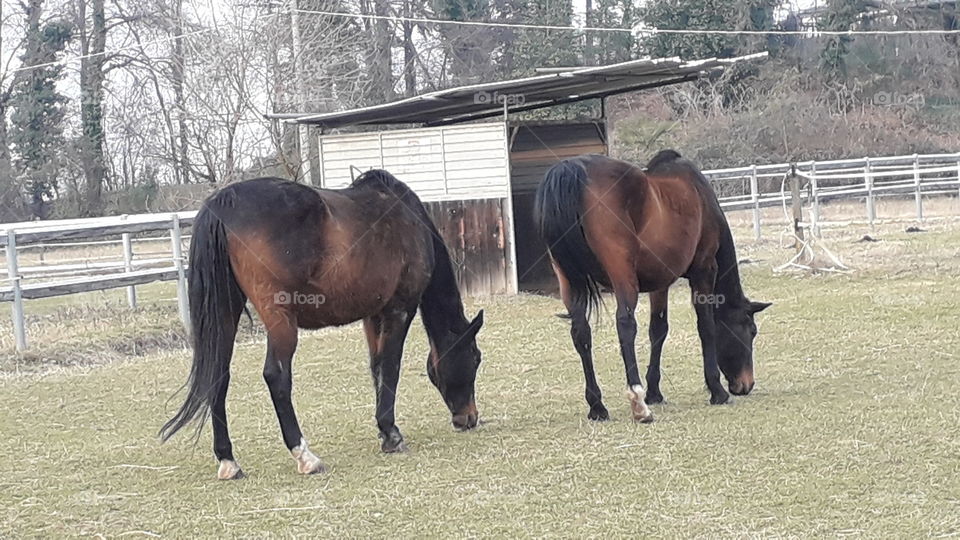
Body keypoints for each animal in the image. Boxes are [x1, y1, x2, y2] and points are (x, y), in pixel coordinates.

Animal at [160, 170, 484, 480]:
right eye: (475, 358)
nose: (469, 418)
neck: (408, 219)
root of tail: (222, 203)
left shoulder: (372, 315)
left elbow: (377, 367)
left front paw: (383, 431)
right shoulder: (399, 310)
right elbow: (391, 367)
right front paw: (392, 434)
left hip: (227, 313)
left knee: (218, 376)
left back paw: (228, 461)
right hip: (280, 320)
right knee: (276, 376)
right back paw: (305, 456)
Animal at [535, 150, 770, 423]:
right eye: (751, 331)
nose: (746, 385)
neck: (701, 199)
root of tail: (573, 170)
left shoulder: (661, 282)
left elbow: (658, 329)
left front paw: (654, 391)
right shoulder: (704, 270)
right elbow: (706, 326)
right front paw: (716, 390)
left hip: (569, 281)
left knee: (581, 332)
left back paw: (597, 406)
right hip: (622, 276)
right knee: (625, 325)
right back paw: (638, 403)